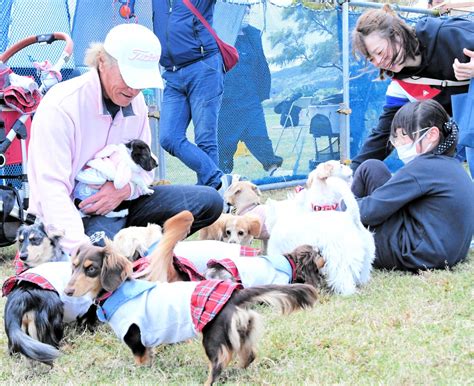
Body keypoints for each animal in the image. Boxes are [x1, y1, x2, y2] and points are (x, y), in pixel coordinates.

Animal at [62, 211, 314, 386]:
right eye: (73, 266)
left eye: (91, 269)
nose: (67, 291)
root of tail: (235, 294)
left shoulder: (135, 338)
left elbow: (141, 359)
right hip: (242, 330)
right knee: (248, 355)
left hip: (213, 337)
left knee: (219, 363)